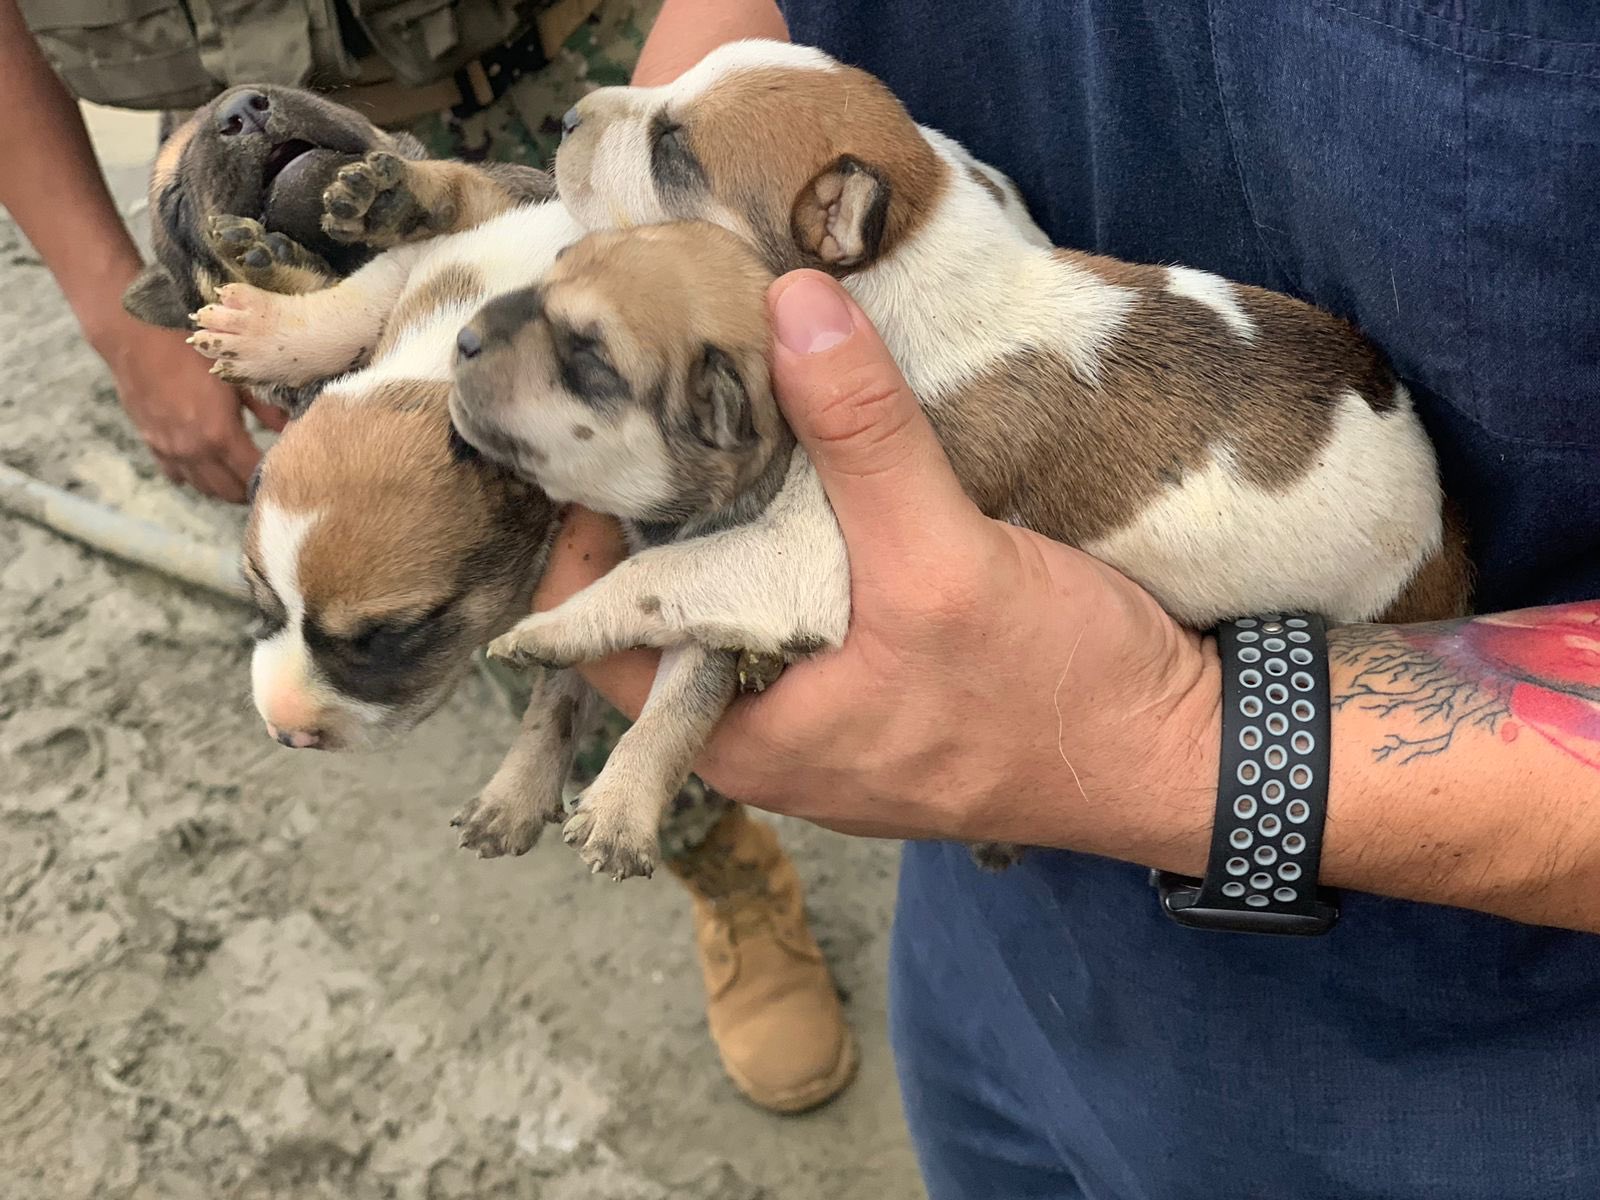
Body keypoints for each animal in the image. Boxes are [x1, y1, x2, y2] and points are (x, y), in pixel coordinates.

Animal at [123, 83, 556, 412]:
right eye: (176, 204)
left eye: (314, 94)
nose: (242, 109)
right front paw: (281, 278)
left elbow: (466, 186)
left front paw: (405, 196)